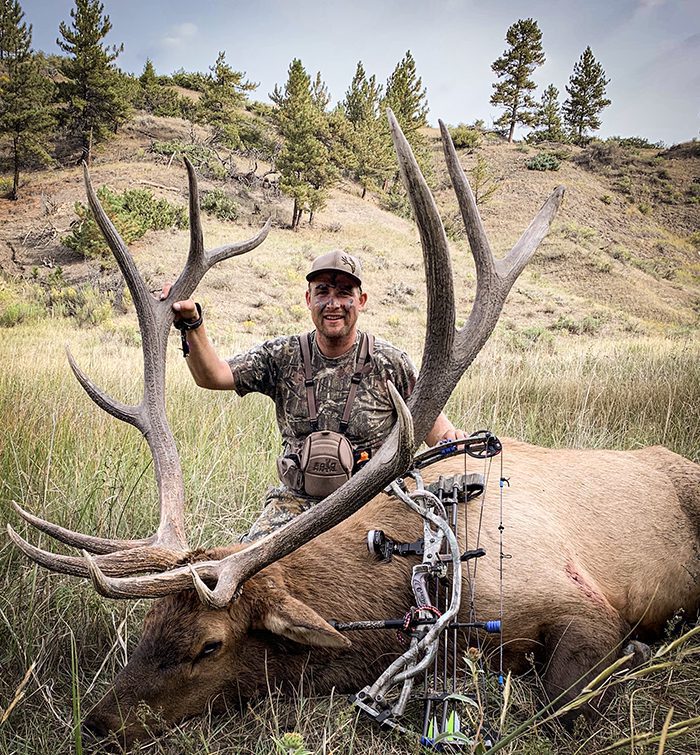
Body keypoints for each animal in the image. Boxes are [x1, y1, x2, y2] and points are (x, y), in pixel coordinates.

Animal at [7, 111, 700, 750]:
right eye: (147, 625)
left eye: (209, 646)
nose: (97, 723)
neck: (422, 566)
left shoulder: (581, 602)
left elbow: (563, 702)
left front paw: (636, 655)